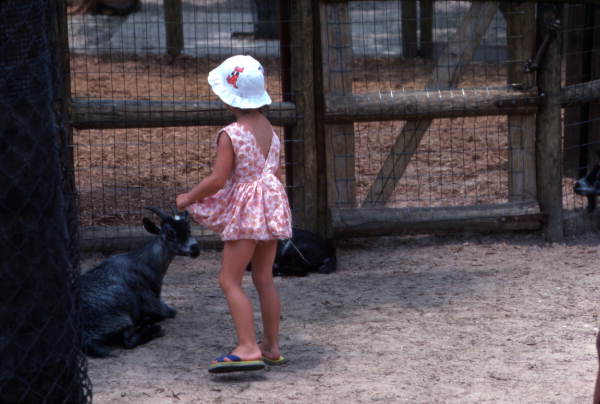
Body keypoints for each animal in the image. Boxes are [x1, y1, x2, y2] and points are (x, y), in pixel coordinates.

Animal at [81, 208, 199, 356]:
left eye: (189, 229)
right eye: (170, 233)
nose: (195, 248)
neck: (144, 262)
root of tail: (87, 338)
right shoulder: (152, 302)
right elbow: (172, 312)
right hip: (120, 319)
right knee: (127, 341)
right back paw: (154, 330)